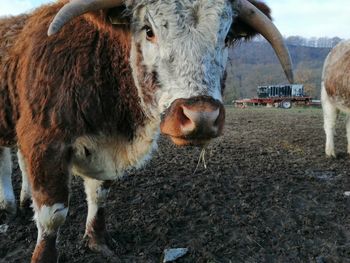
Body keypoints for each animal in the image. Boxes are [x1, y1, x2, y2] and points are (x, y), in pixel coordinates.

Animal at [0, 0, 292, 262]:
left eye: (226, 36)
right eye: (148, 30)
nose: (201, 117)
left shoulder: (105, 149)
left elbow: (99, 195)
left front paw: (97, 240)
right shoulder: (46, 142)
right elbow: (53, 215)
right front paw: (44, 255)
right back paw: (9, 206)